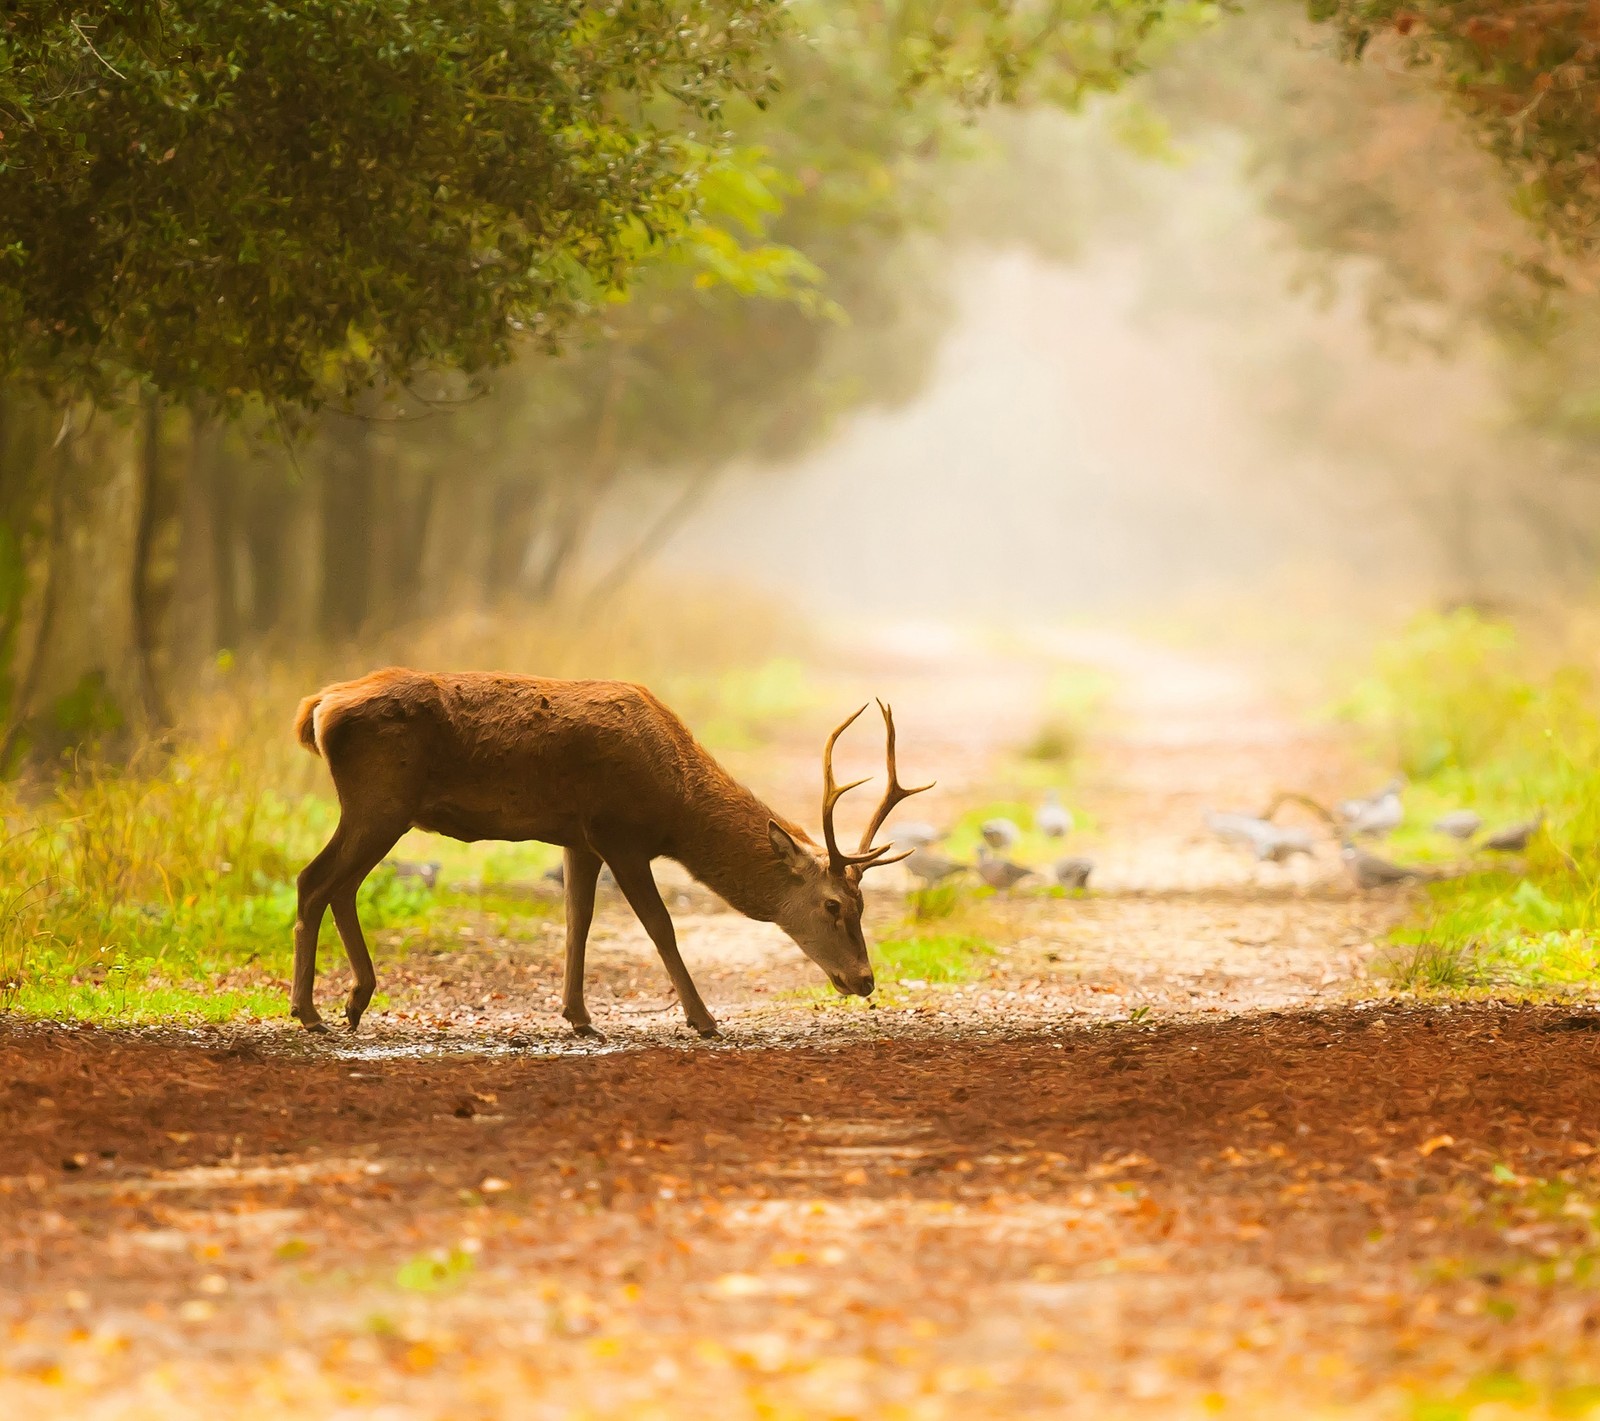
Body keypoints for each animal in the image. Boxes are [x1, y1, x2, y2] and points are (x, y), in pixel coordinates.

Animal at [294, 672, 934, 1036]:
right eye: (833, 905)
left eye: (863, 905)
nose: (865, 979)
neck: (675, 807)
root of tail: (318, 707)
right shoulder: (619, 832)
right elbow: (660, 925)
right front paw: (704, 1021)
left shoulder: (578, 838)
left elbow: (577, 920)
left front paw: (579, 1019)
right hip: (381, 799)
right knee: (314, 880)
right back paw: (311, 1011)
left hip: (379, 807)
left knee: (337, 885)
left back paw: (353, 1002)